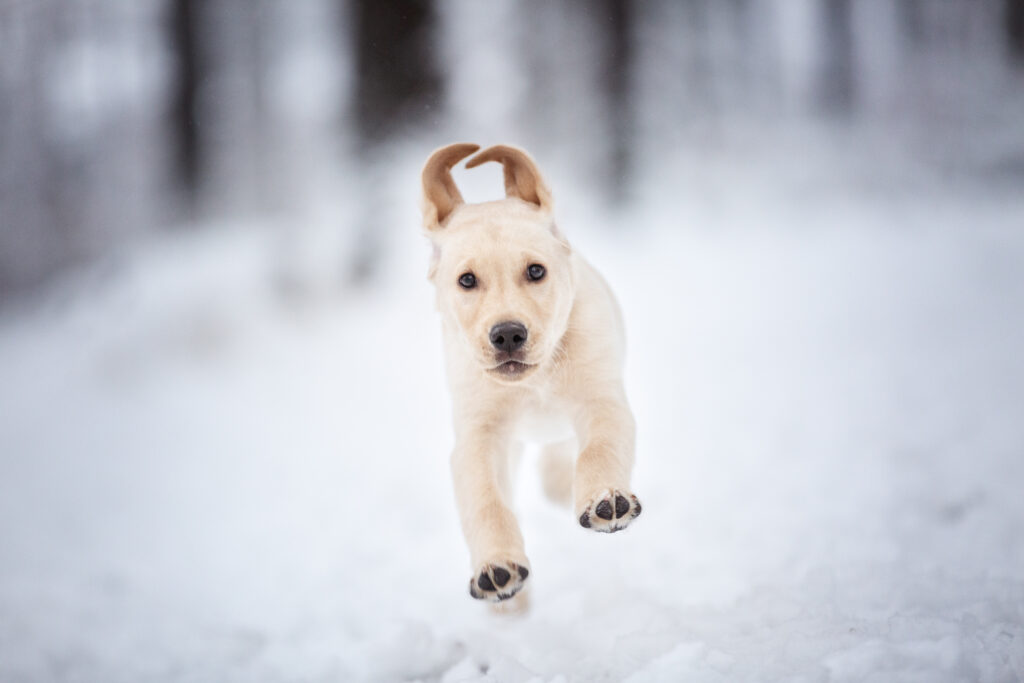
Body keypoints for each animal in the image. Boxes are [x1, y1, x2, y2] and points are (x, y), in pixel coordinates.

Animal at [417, 144, 638, 602]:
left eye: (536, 271)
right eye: (467, 280)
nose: (507, 334)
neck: (535, 381)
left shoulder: (601, 399)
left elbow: (600, 448)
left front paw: (605, 500)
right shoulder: (479, 437)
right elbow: (486, 500)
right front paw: (497, 566)